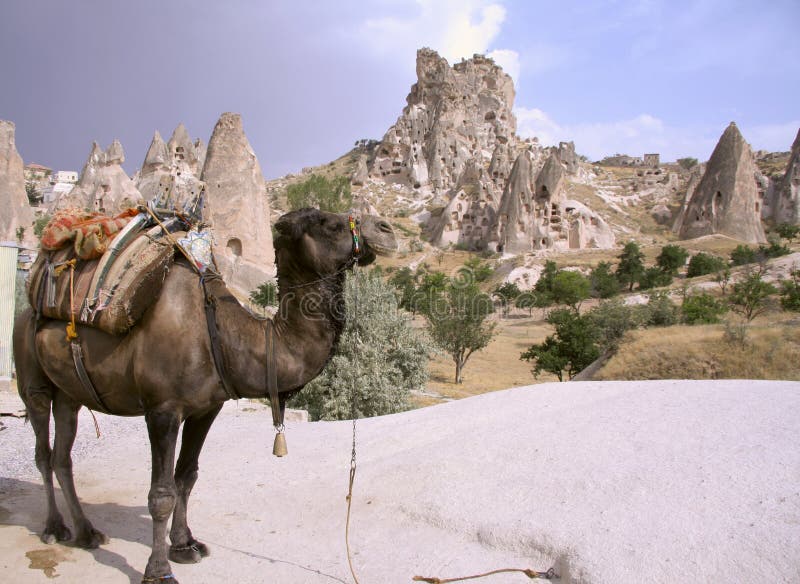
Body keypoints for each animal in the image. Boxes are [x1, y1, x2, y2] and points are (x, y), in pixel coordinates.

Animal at [12, 208, 400, 580]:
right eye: (326, 222)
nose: (386, 229)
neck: (221, 333)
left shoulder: (206, 408)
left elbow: (187, 477)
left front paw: (185, 546)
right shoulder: (162, 409)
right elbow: (161, 493)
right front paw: (158, 570)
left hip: (69, 394)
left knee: (63, 455)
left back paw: (87, 532)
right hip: (33, 380)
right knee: (43, 451)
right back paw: (55, 528)